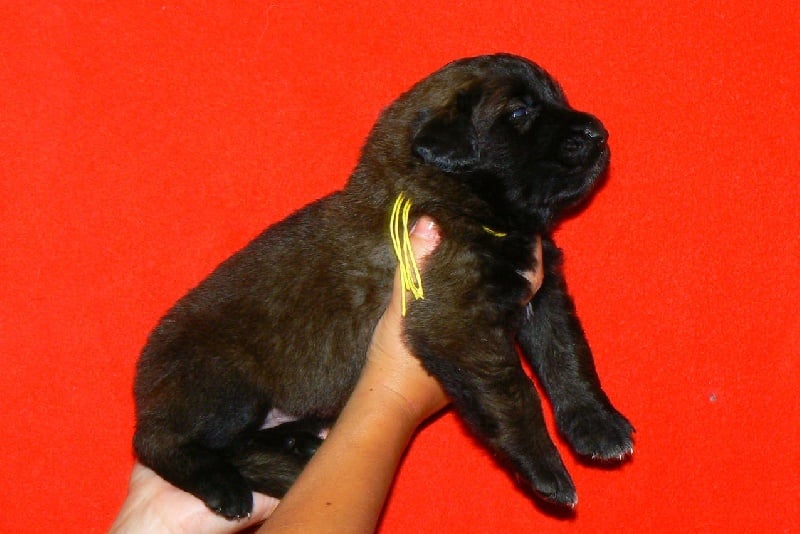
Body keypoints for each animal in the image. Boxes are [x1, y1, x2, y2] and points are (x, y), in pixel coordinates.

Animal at [133, 53, 634, 519]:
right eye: (518, 112)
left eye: (558, 100)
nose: (599, 132)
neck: (467, 203)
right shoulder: (457, 321)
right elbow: (517, 392)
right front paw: (546, 468)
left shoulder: (543, 296)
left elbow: (568, 359)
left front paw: (598, 426)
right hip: (223, 382)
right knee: (159, 442)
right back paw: (225, 485)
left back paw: (293, 450)